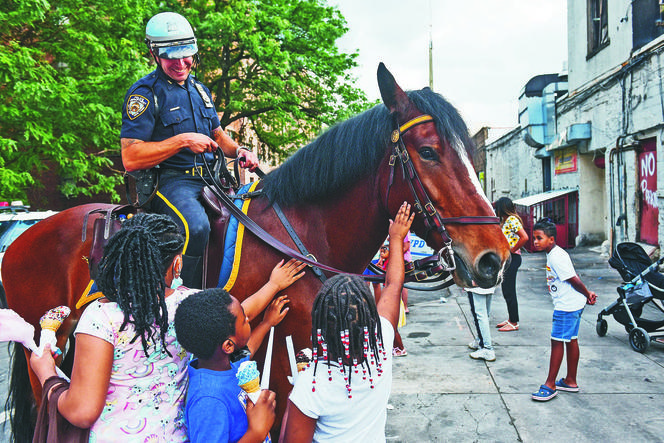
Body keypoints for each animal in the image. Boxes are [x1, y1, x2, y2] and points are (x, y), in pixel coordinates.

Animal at [2, 63, 508, 440]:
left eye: (469, 152)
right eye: (428, 152)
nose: (493, 258)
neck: (305, 238)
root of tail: (24, 237)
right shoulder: (283, 366)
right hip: (41, 344)